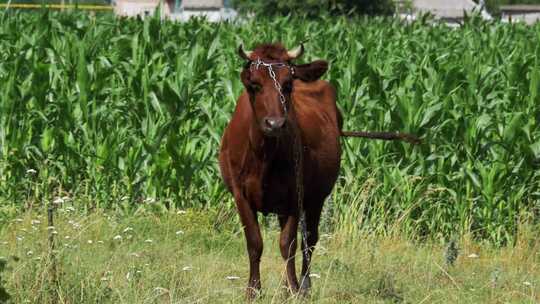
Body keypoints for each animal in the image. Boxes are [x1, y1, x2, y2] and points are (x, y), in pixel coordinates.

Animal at [218, 43, 418, 300]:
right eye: (254, 84)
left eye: (288, 85)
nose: (275, 124)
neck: (263, 154)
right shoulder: (240, 194)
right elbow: (254, 243)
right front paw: (253, 291)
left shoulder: (296, 195)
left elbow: (288, 244)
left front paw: (294, 289)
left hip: (317, 197)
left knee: (309, 240)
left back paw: (303, 285)